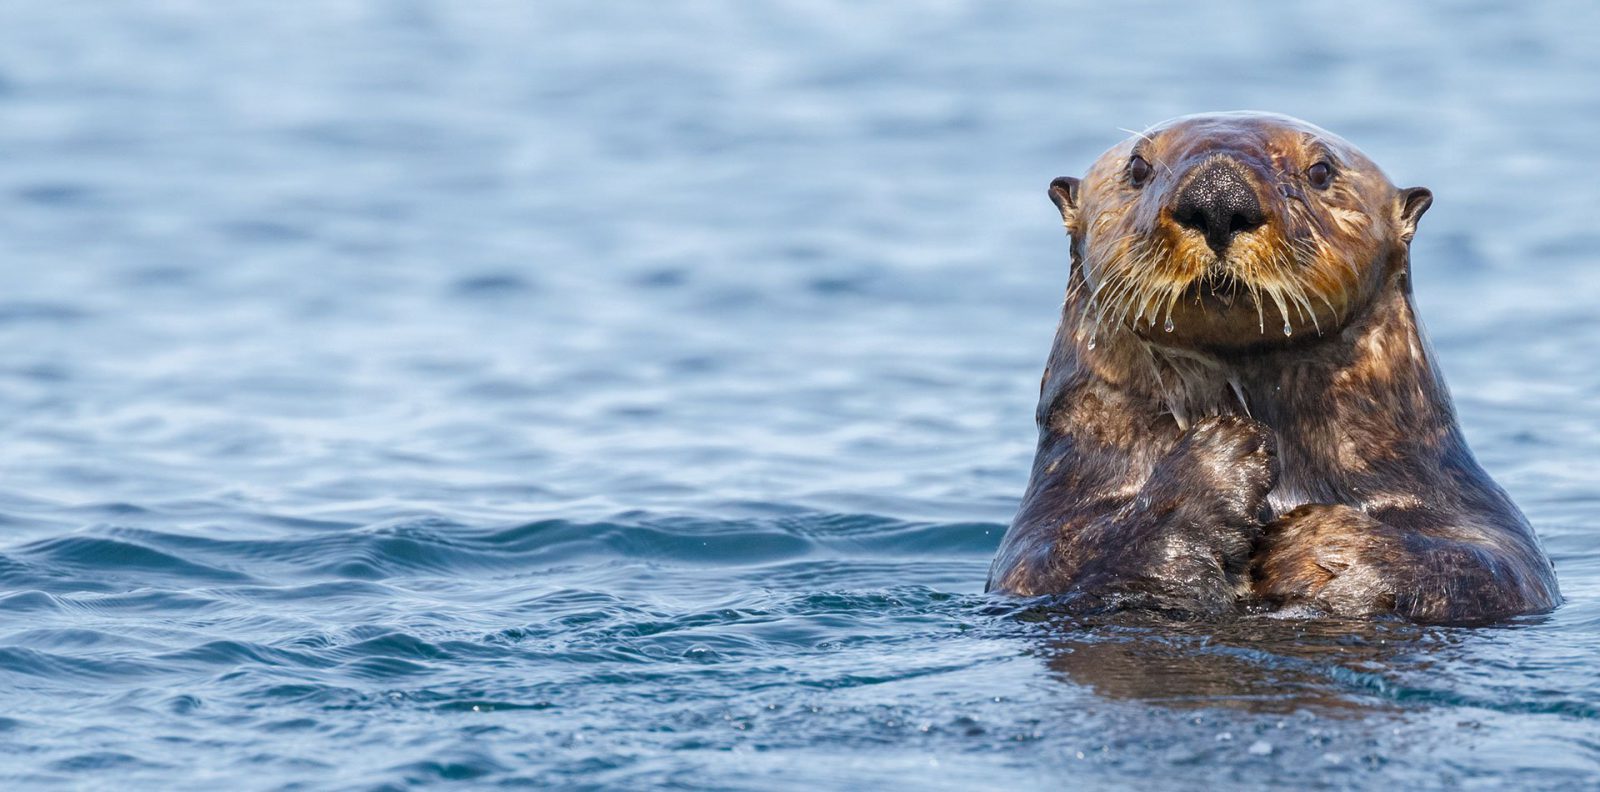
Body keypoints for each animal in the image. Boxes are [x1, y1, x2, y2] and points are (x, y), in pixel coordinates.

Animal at [987, 112, 1559, 625]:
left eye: (1321, 171)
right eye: (1138, 167)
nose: (1218, 198)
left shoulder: (1476, 517)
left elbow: (1486, 569)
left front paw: (1318, 545)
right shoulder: (1037, 543)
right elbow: (1076, 565)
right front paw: (1223, 453)